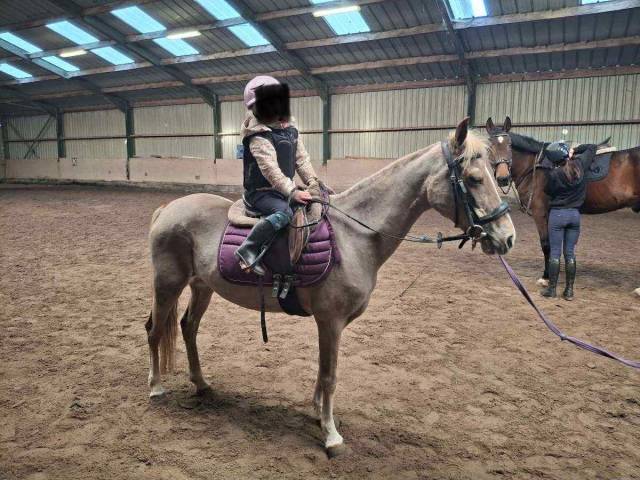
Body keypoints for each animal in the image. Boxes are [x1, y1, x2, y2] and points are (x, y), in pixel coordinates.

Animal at [146, 118, 516, 456]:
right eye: (474, 179)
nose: (508, 237)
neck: (356, 235)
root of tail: (167, 209)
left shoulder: (334, 324)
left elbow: (324, 371)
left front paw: (317, 413)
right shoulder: (330, 320)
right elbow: (330, 376)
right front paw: (331, 434)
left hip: (201, 287)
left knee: (188, 327)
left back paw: (201, 384)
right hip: (168, 284)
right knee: (154, 330)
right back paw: (156, 388)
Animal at [485, 116, 640, 290]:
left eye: (510, 145)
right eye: (490, 147)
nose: (503, 178)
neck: (535, 167)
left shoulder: (540, 213)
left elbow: (546, 244)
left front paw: (546, 277)